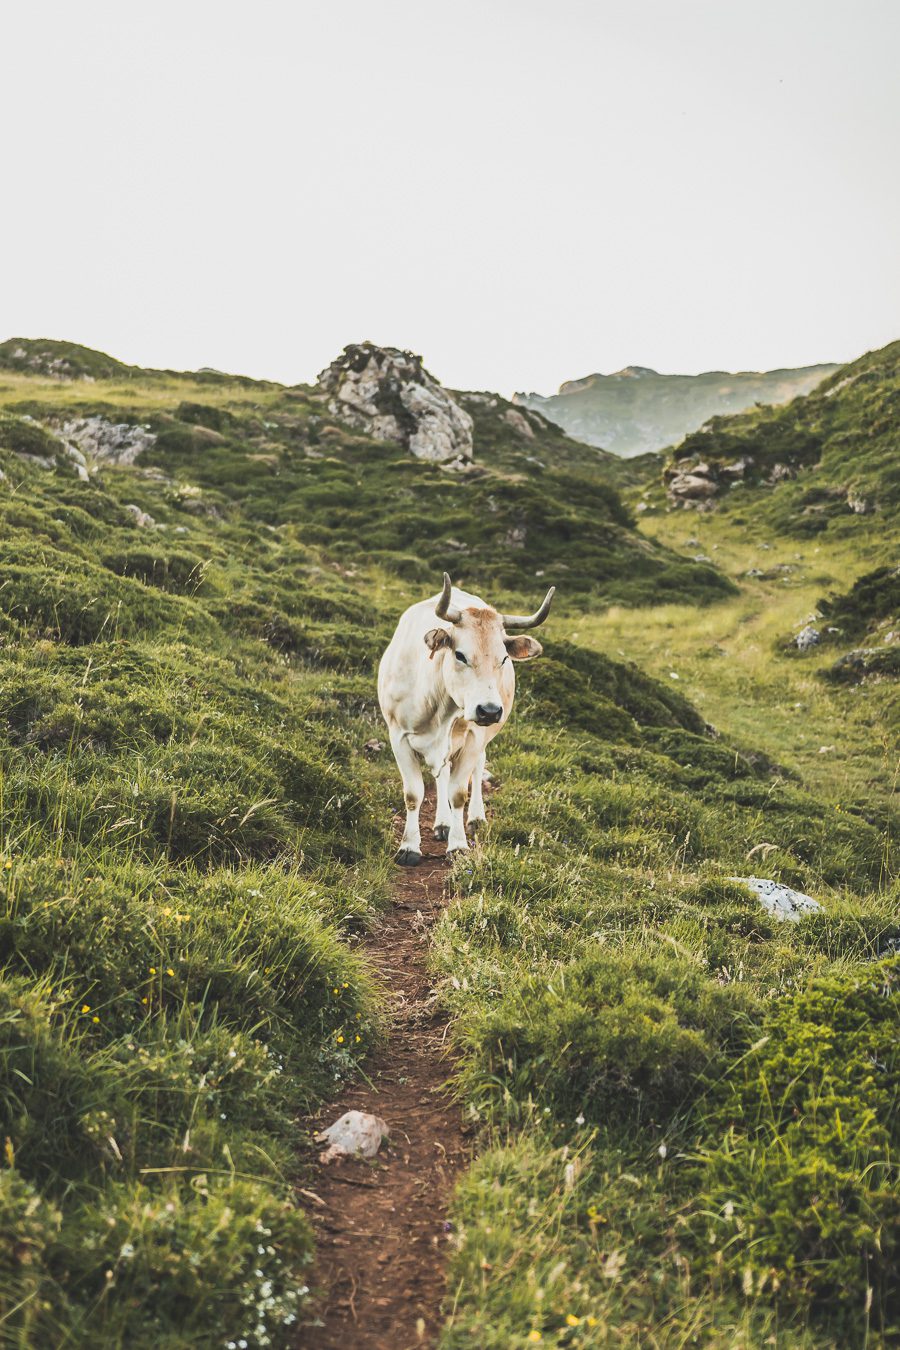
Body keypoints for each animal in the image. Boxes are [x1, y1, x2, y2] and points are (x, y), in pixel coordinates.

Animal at [377, 572, 553, 864]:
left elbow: (458, 793)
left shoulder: (473, 738)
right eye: (460, 655)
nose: (490, 710)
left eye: (504, 658)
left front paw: (458, 845)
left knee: (477, 768)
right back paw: (443, 823)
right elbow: (413, 794)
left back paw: (474, 819)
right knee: (442, 774)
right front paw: (409, 847)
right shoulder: (398, 736)